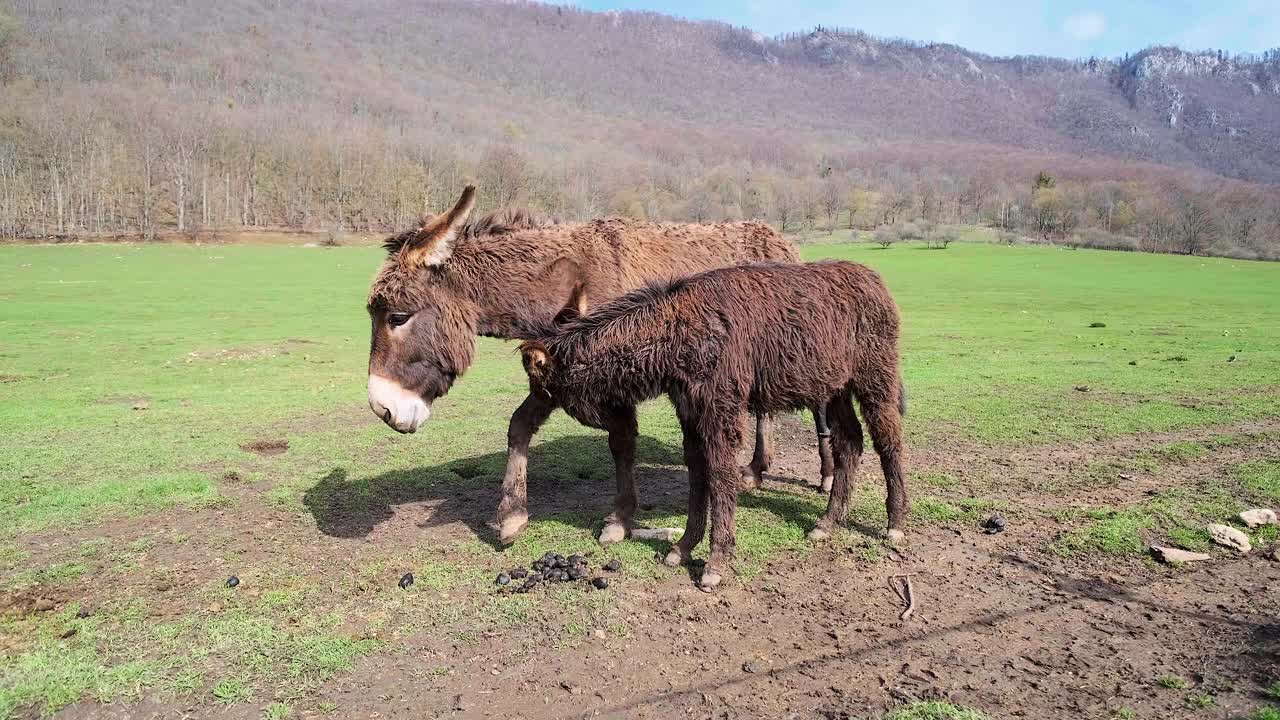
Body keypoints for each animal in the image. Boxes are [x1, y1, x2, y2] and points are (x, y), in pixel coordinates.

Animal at [522, 260, 911, 586]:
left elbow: (721, 478)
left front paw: (716, 562)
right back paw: (827, 523)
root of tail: (874, 280)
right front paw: (683, 548)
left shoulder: (722, 414)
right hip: (836, 389)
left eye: (544, 390)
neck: (678, 333)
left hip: (874, 381)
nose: (624, 426)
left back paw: (895, 523)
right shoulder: (690, 416)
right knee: (851, 443)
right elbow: (699, 477)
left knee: (888, 440)